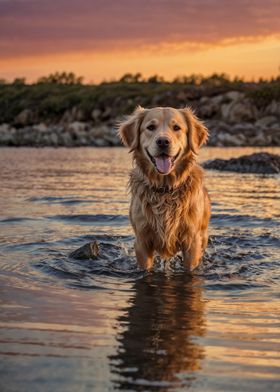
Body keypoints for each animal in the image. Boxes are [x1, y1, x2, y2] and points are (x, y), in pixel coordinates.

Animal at [117, 105, 210, 272]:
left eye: (177, 127)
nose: (163, 141)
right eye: (150, 127)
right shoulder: (142, 241)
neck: (165, 188)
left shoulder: (192, 243)